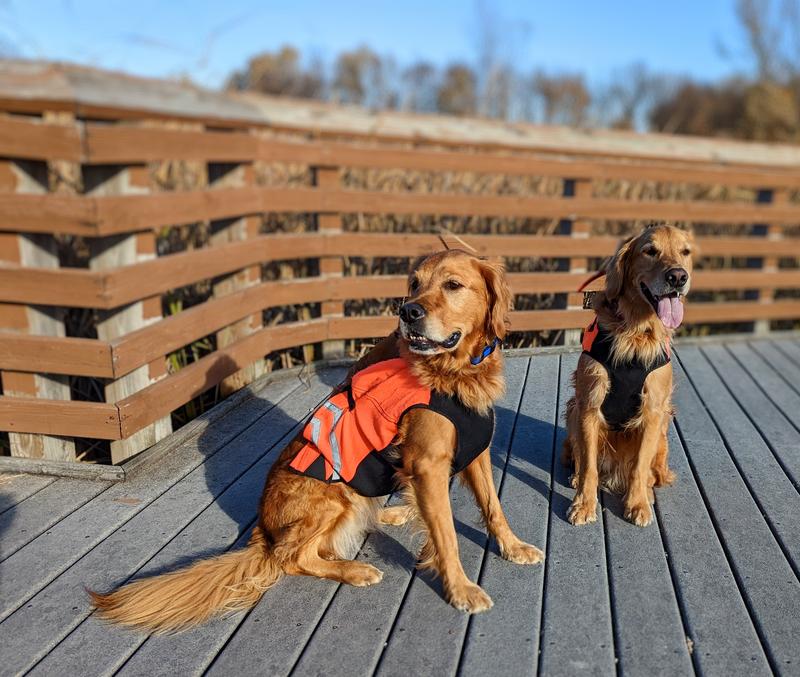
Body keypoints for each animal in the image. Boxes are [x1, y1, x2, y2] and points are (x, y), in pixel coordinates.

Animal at [90, 250, 544, 632]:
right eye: (413, 284)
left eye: (452, 285)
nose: (407, 311)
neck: (456, 372)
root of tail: (263, 531)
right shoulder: (428, 465)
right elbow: (447, 534)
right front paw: (462, 589)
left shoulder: (477, 451)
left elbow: (493, 507)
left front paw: (513, 546)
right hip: (331, 496)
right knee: (294, 557)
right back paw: (354, 569)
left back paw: (393, 514)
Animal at [564, 224, 692, 524]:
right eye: (650, 251)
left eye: (685, 251)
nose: (678, 276)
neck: (635, 332)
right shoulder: (589, 404)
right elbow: (589, 466)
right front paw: (584, 505)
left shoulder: (653, 410)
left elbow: (639, 467)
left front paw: (637, 503)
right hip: (573, 410)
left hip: (663, 430)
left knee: (653, 472)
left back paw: (648, 490)